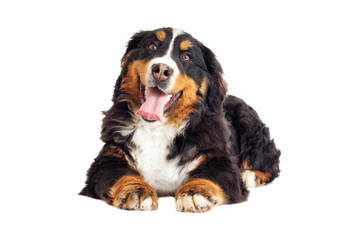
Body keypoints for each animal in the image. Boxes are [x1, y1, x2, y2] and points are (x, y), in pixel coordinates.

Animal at [80, 27, 280, 213]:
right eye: (152, 46)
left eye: (186, 57)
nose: (161, 70)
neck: (158, 129)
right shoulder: (109, 157)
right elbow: (121, 173)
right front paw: (136, 191)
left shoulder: (220, 161)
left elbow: (209, 176)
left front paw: (194, 193)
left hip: (249, 124)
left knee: (271, 161)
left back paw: (250, 175)